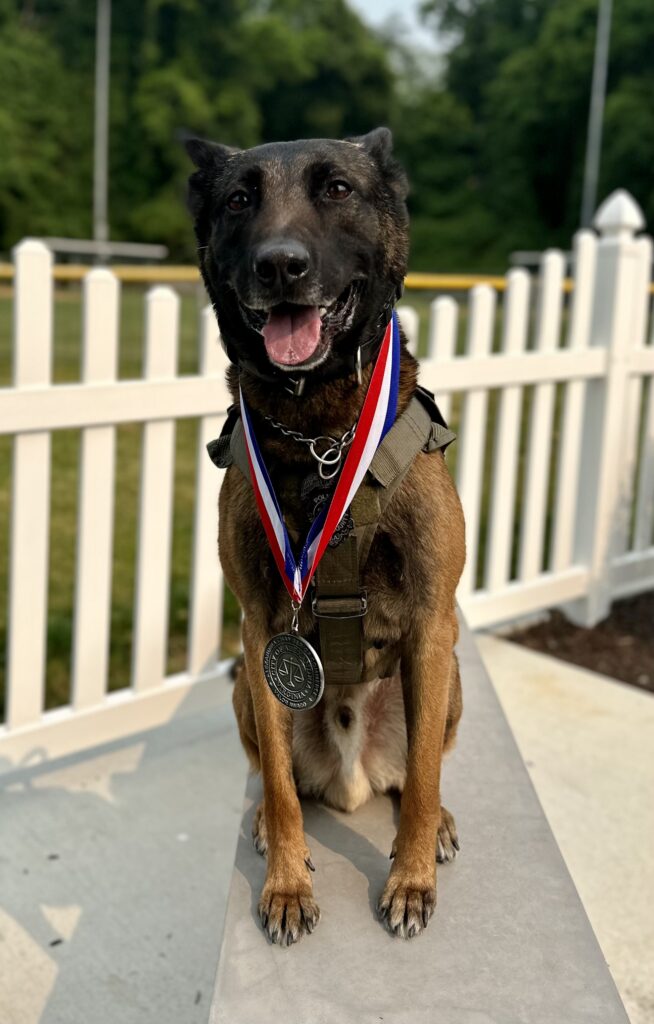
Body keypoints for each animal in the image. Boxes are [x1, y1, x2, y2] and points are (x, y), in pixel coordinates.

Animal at [186, 128, 465, 945]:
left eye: (337, 188)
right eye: (239, 199)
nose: (280, 265)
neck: (320, 439)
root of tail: (352, 779)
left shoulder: (433, 625)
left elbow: (426, 775)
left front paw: (410, 880)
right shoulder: (259, 631)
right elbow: (280, 786)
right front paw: (285, 884)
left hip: (448, 680)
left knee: (422, 772)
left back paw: (433, 823)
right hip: (246, 689)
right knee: (279, 777)